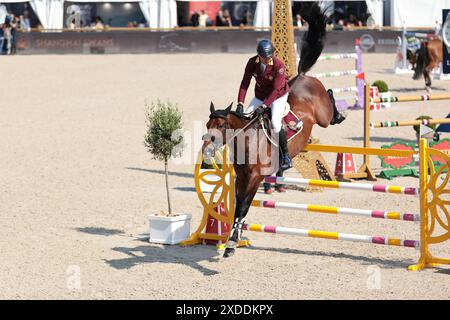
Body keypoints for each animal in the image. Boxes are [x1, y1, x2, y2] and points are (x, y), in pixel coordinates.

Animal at [200, 1, 344, 258]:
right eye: (208, 125)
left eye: (221, 126)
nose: (206, 151)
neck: (247, 142)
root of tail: (301, 76)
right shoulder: (240, 177)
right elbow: (238, 207)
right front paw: (233, 239)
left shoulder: (255, 178)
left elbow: (243, 207)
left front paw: (232, 243)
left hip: (323, 116)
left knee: (329, 99)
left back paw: (339, 113)